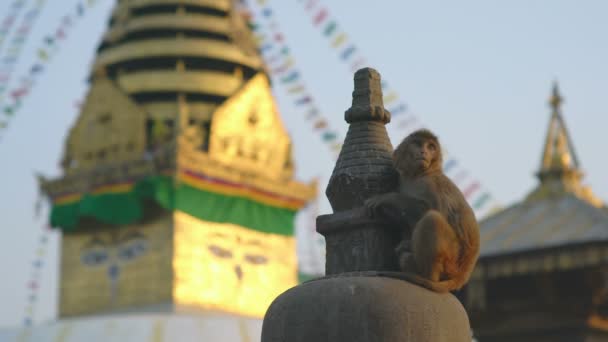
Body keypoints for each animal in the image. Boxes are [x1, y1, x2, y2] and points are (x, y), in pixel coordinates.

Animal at [366, 130, 480, 292]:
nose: (424, 151)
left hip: (451, 259)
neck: (417, 175)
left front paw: (388, 198)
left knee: (432, 218)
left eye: (431, 147)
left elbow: (433, 209)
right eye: (418, 144)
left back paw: (427, 276)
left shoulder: (431, 184)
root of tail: (462, 275)